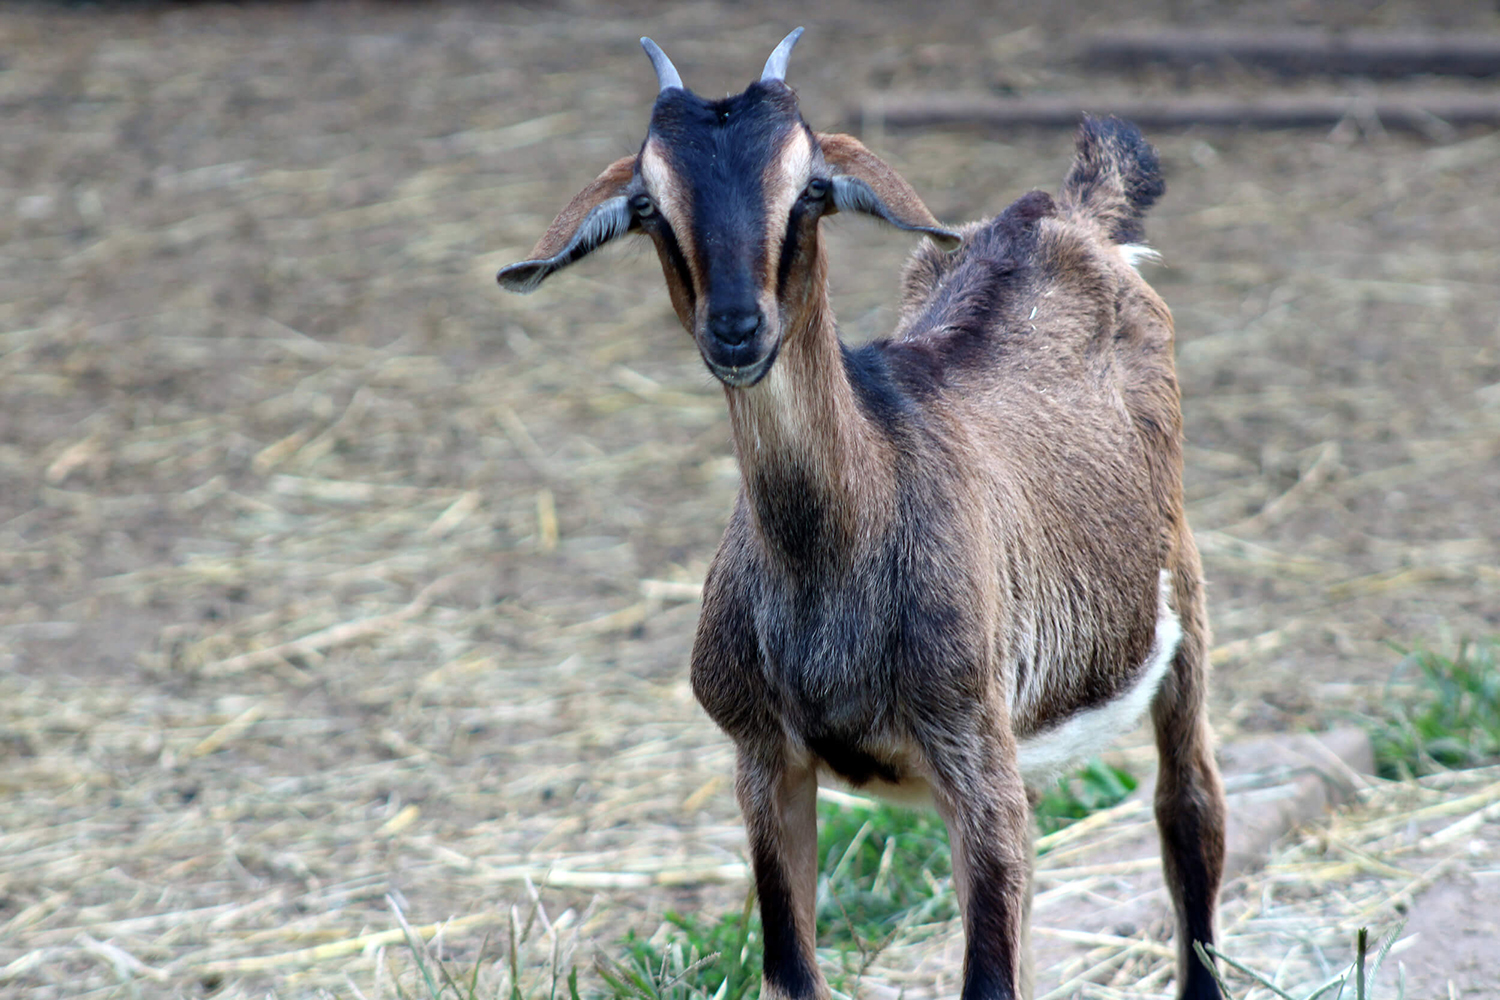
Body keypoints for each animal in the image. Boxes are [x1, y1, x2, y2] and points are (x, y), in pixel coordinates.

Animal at [498, 31, 1224, 1000]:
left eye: (810, 189)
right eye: (649, 205)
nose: (736, 328)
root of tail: (1067, 213)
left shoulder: (969, 749)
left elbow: (988, 976)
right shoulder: (764, 759)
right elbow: (793, 969)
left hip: (1178, 606)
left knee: (1189, 809)